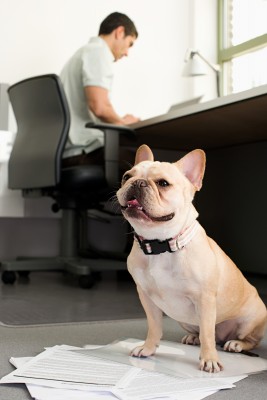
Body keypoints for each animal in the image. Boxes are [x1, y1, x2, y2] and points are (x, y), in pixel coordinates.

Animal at [117, 144, 267, 372]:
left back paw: (236, 344)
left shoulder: (204, 300)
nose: (138, 182)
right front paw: (148, 348)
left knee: (245, 339)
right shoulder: (147, 297)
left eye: (163, 183)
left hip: (250, 320)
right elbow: (154, 326)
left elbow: (207, 333)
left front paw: (210, 359)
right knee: (202, 333)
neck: (161, 243)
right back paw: (193, 338)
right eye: (126, 177)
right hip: (184, 319)